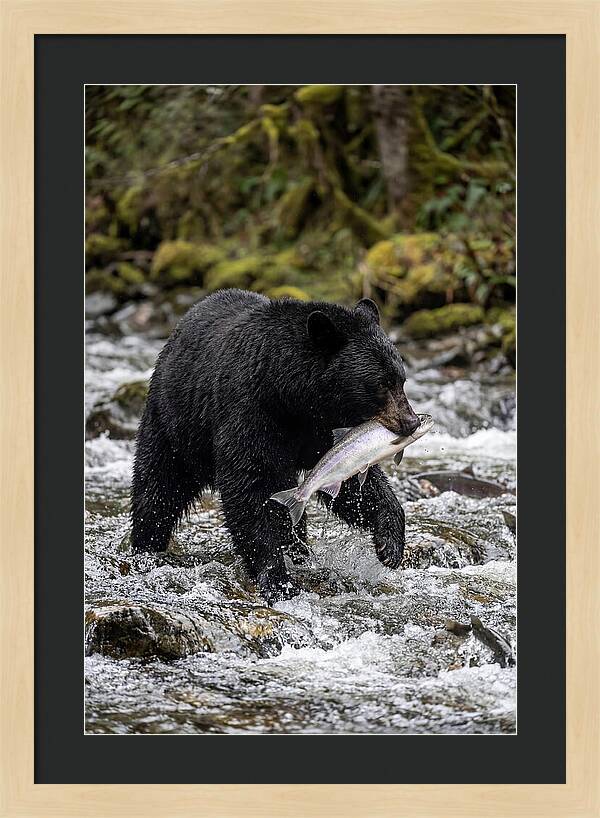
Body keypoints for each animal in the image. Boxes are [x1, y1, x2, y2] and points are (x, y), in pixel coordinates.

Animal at [131, 289, 420, 603]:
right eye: (380, 384)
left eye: (401, 379)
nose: (411, 422)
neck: (292, 396)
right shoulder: (251, 411)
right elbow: (248, 486)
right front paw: (277, 578)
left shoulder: (323, 430)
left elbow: (350, 479)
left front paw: (390, 544)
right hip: (175, 424)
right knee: (158, 486)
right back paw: (145, 547)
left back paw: (299, 551)